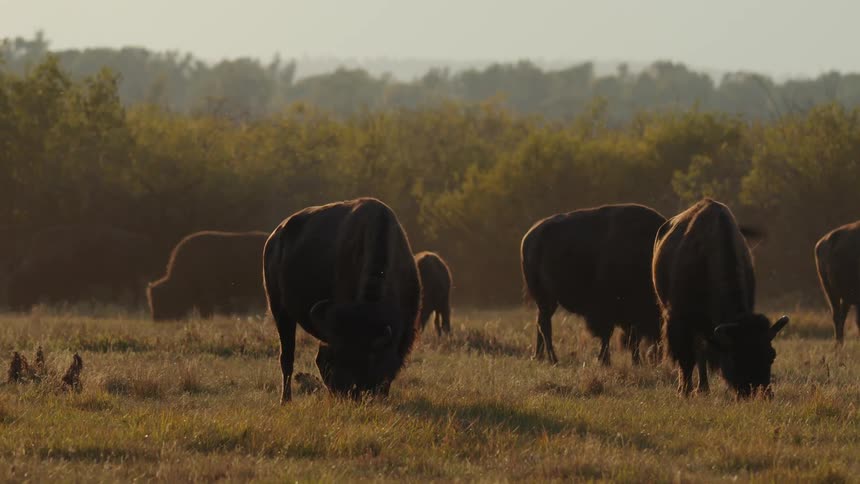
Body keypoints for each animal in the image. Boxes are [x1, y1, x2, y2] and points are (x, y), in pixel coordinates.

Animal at [6, 225, 157, 311]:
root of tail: (138, 238)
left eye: (20, 287)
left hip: (127, 277)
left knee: (133, 291)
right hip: (123, 278)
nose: (13, 306)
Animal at [263, 198, 421, 403]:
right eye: (342, 359)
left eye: (365, 361)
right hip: (280, 310)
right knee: (287, 357)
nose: (347, 393)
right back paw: (286, 399)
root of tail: (274, 237)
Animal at [521, 204, 666, 366]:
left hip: (547, 302)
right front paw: (606, 360)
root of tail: (529, 236)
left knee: (540, 324)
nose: (658, 358)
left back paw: (539, 356)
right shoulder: (608, 310)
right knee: (545, 326)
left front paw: (633, 361)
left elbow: (630, 337)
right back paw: (553, 359)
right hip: (546, 299)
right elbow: (610, 335)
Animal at [652, 198, 789, 398]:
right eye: (737, 356)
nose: (758, 392)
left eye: (772, 354)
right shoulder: (679, 319)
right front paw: (684, 391)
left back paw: (703, 388)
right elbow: (686, 359)